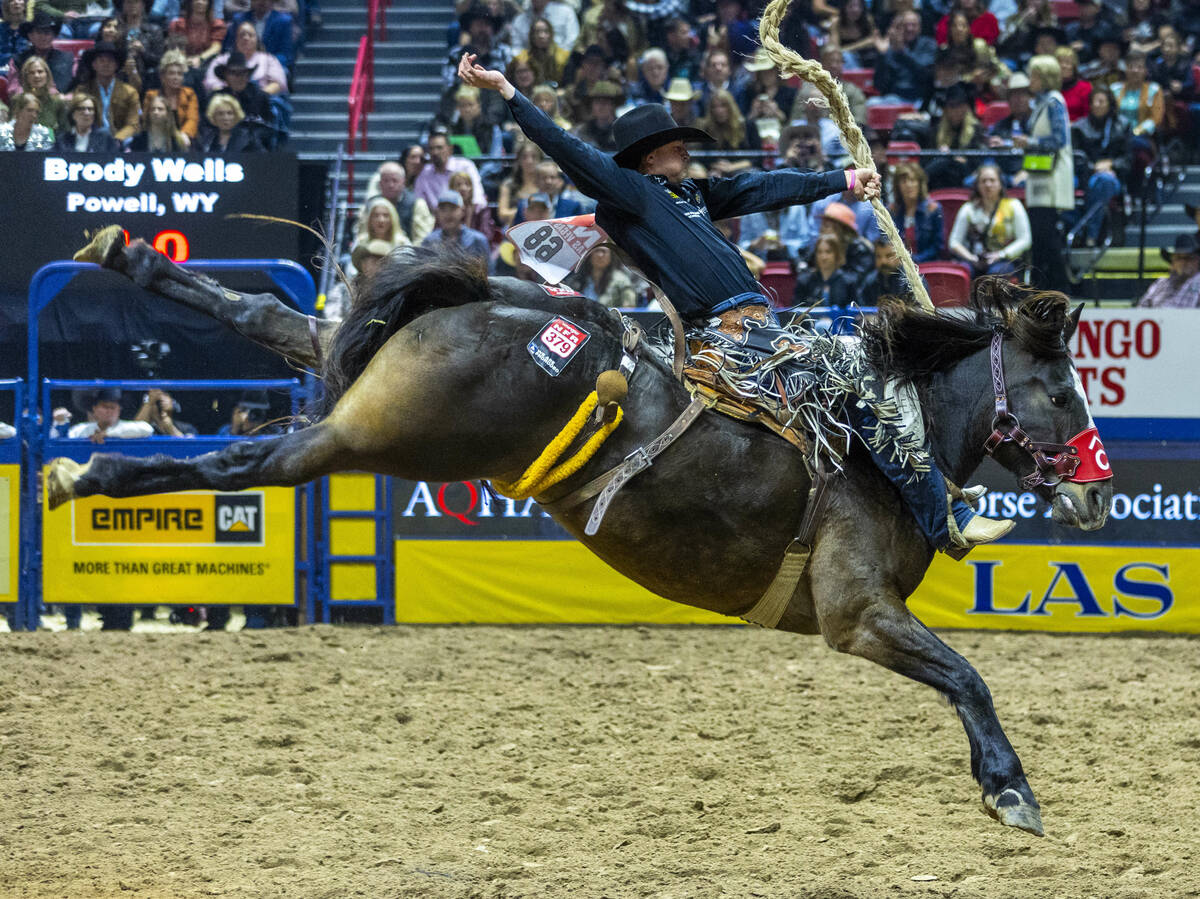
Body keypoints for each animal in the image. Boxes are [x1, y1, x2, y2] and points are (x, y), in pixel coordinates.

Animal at [49, 225, 1113, 835]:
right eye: (1062, 389)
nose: (1100, 493)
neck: (878, 429)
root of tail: (500, 299)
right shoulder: (856, 612)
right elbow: (966, 673)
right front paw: (1010, 789)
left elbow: (962, 674)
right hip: (381, 436)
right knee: (250, 464)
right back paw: (86, 472)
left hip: (368, 387)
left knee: (277, 318)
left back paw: (123, 258)